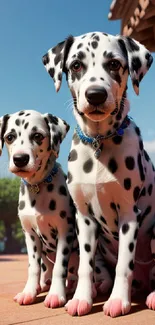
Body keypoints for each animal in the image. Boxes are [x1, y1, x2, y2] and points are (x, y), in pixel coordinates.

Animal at [0, 109, 78, 306]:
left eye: (37, 136)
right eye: (10, 137)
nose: (20, 159)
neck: (37, 187)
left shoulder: (65, 231)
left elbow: (60, 267)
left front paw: (56, 294)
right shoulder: (30, 235)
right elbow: (33, 267)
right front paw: (29, 292)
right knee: (47, 268)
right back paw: (42, 285)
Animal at [41, 31, 155, 316]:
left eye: (114, 64)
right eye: (76, 65)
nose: (95, 95)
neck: (98, 143)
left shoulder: (129, 215)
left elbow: (124, 264)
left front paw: (118, 300)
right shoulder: (84, 218)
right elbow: (84, 266)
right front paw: (81, 298)